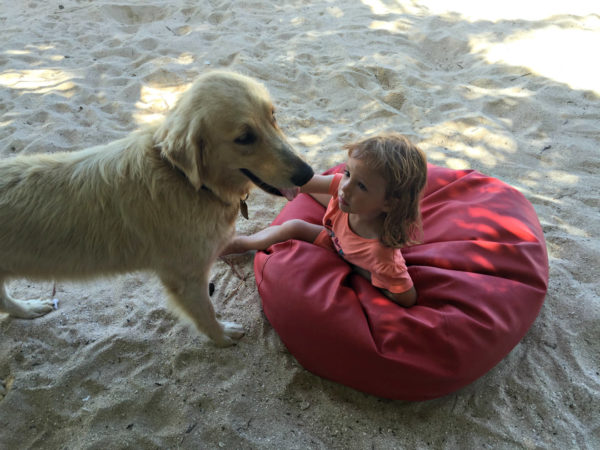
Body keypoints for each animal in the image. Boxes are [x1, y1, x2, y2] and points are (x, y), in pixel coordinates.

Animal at [1, 70, 314, 346]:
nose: (308, 174)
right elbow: (206, 312)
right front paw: (221, 336)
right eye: (245, 137)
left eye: (273, 116)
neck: (186, 181)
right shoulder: (186, 278)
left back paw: (27, 309)